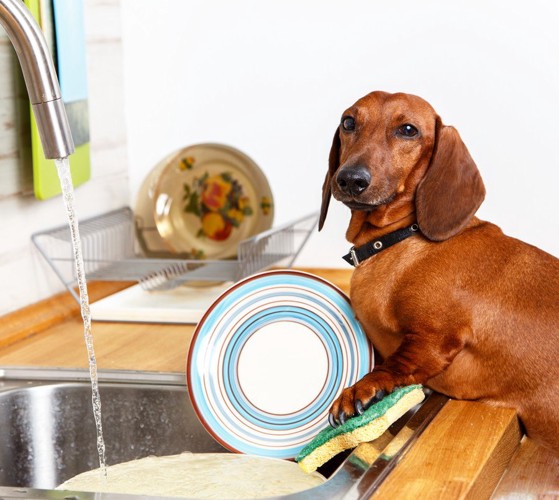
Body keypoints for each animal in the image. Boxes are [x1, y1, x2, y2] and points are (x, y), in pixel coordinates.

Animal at [322, 90, 559, 454]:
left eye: (408, 130)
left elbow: (401, 362)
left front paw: (365, 387)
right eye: (349, 122)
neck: (401, 239)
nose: (350, 179)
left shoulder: (435, 338)